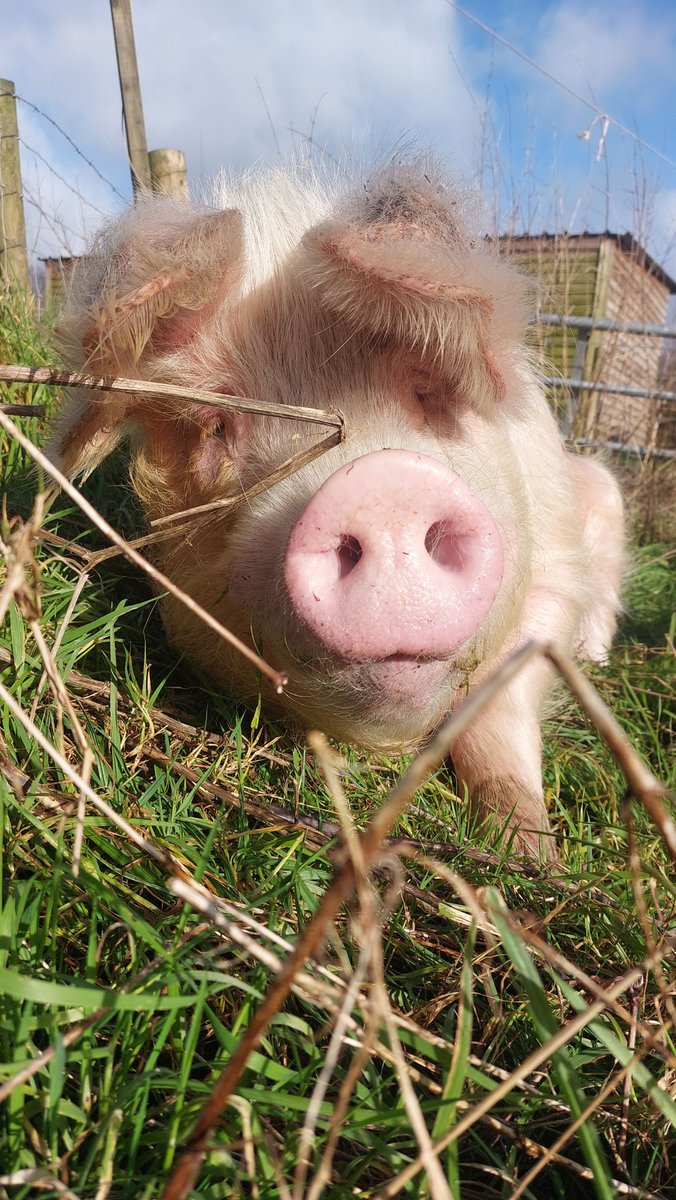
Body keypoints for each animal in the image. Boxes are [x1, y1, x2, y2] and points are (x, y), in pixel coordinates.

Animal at [48, 157, 625, 858]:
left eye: (427, 389)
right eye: (217, 426)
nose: (383, 488)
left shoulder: (555, 571)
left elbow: (499, 709)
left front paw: (529, 853)